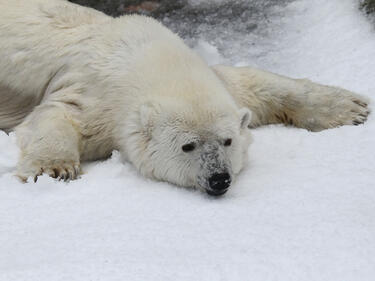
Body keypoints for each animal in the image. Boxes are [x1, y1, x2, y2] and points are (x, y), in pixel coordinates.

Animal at [0, 0, 370, 195]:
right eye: (187, 146)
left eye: (227, 141)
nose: (219, 179)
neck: (147, 58)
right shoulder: (94, 94)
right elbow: (58, 116)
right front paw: (53, 170)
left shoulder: (217, 83)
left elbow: (253, 84)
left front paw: (352, 107)